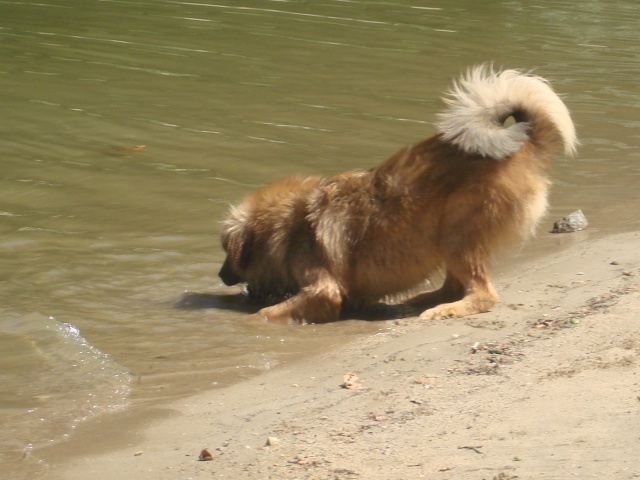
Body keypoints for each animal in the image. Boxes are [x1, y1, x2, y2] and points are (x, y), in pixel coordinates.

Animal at [219, 64, 576, 322]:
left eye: (227, 252)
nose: (220, 275)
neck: (288, 224)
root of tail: (525, 146)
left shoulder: (323, 289)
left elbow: (269, 312)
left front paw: (255, 319)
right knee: (453, 286)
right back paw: (419, 301)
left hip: (458, 232)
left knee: (482, 293)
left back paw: (445, 309)